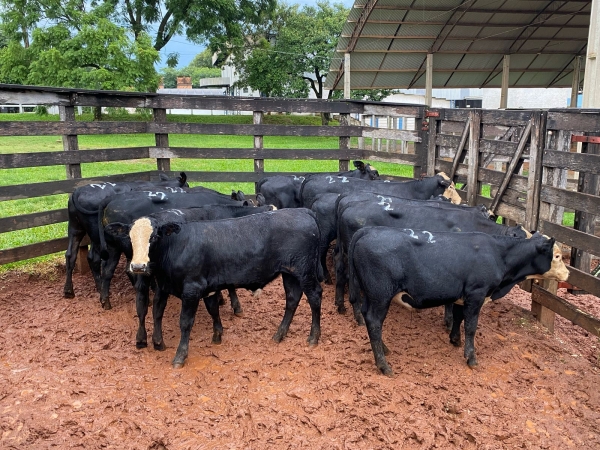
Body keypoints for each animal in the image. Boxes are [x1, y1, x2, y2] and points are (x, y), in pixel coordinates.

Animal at [108, 209, 324, 368]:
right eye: (130, 238)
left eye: (154, 237)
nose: (138, 266)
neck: (175, 247)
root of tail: (302, 211)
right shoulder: (167, 286)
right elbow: (160, 311)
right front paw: (160, 342)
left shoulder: (192, 289)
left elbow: (185, 322)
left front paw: (180, 356)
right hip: (290, 273)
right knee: (292, 299)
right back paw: (279, 335)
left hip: (304, 271)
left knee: (314, 297)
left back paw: (313, 337)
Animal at [346, 229, 568, 376]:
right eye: (557, 256)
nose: (567, 273)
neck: (498, 254)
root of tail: (367, 232)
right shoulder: (477, 294)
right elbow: (471, 326)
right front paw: (471, 357)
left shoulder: (463, 297)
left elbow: (459, 318)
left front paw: (455, 340)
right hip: (380, 296)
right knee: (374, 322)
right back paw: (383, 365)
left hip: (372, 296)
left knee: (368, 317)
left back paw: (384, 349)